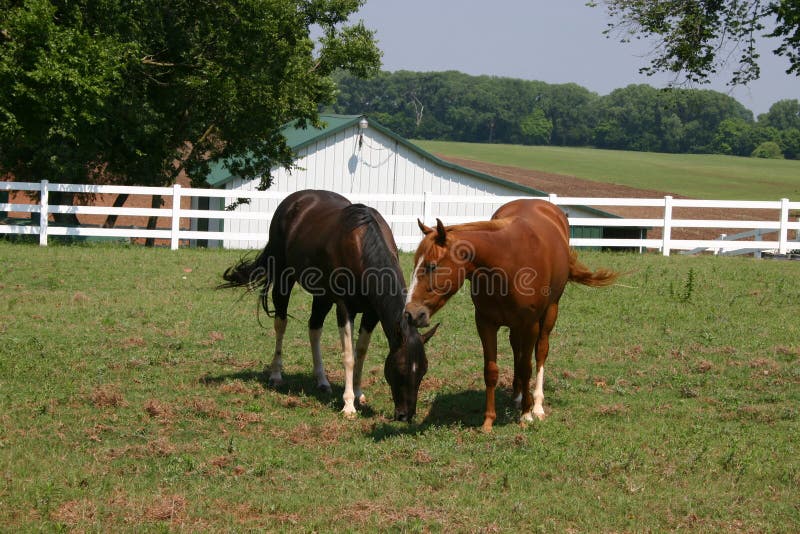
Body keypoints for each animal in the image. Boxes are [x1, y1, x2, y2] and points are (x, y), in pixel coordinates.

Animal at [220, 189, 438, 421]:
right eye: (401, 368)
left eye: (423, 370)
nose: (406, 416)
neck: (361, 245)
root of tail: (293, 201)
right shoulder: (344, 309)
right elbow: (349, 356)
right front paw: (348, 405)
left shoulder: (371, 313)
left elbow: (361, 352)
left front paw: (358, 393)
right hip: (283, 280)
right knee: (281, 324)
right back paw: (276, 375)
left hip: (322, 296)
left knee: (314, 328)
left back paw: (322, 381)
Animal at [404, 199, 618, 431]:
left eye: (432, 266)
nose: (410, 313)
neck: (506, 262)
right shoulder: (485, 323)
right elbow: (491, 370)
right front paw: (489, 421)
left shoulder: (530, 324)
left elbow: (527, 367)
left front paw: (526, 415)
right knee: (517, 349)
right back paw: (518, 396)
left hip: (550, 312)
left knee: (540, 352)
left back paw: (537, 404)